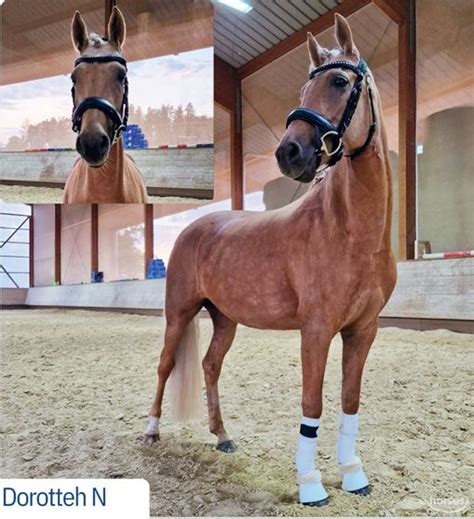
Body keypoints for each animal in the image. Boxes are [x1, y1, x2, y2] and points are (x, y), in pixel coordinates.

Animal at [143, 13, 396, 508]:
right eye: (302, 89)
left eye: (339, 81)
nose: (288, 152)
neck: (352, 230)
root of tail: (198, 226)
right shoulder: (316, 330)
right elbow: (312, 403)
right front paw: (311, 484)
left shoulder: (363, 330)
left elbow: (350, 400)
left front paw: (354, 475)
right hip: (179, 313)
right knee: (165, 366)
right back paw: (151, 431)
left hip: (225, 318)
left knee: (210, 365)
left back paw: (222, 437)